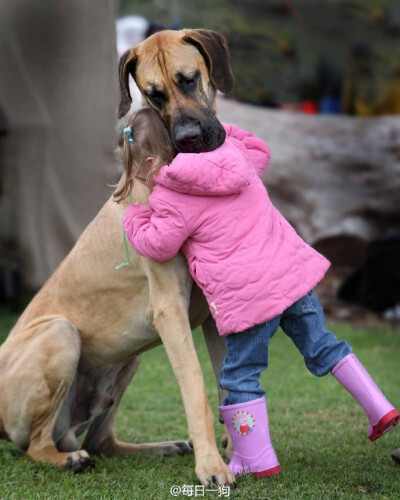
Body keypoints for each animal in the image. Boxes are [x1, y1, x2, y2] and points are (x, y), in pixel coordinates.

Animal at [0, 29, 236, 486]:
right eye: (153, 95)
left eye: (189, 80)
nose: (189, 138)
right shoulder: (169, 310)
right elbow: (196, 388)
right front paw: (212, 466)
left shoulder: (214, 314)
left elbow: (228, 384)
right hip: (60, 334)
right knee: (39, 445)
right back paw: (66, 459)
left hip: (130, 355)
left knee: (100, 440)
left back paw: (158, 447)